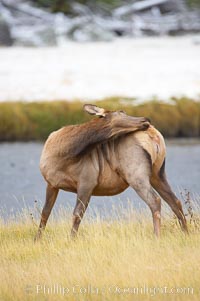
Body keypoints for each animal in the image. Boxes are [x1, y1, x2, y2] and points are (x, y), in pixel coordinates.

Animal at [34, 103, 188, 239]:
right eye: (121, 112)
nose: (146, 120)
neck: (63, 156)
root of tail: (155, 137)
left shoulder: (87, 181)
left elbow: (77, 214)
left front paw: (71, 239)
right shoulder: (51, 183)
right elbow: (45, 212)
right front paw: (37, 239)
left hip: (136, 174)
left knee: (155, 200)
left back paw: (157, 236)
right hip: (158, 173)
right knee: (175, 201)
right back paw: (186, 232)